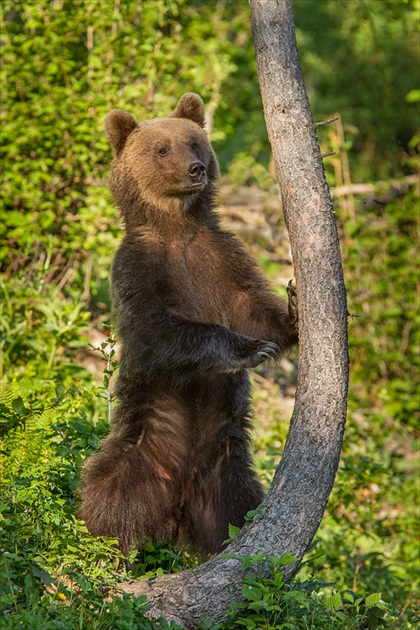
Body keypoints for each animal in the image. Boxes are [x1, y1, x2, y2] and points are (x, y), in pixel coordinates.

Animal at [79, 92, 298, 556]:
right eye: (162, 149)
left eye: (195, 142)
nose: (195, 168)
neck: (177, 227)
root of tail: (176, 507)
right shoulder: (139, 269)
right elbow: (157, 330)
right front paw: (247, 349)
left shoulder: (220, 258)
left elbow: (252, 307)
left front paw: (292, 307)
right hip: (139, 448)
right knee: (109, 496)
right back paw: (109, 550)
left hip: (227, 471)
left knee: (235, 510)